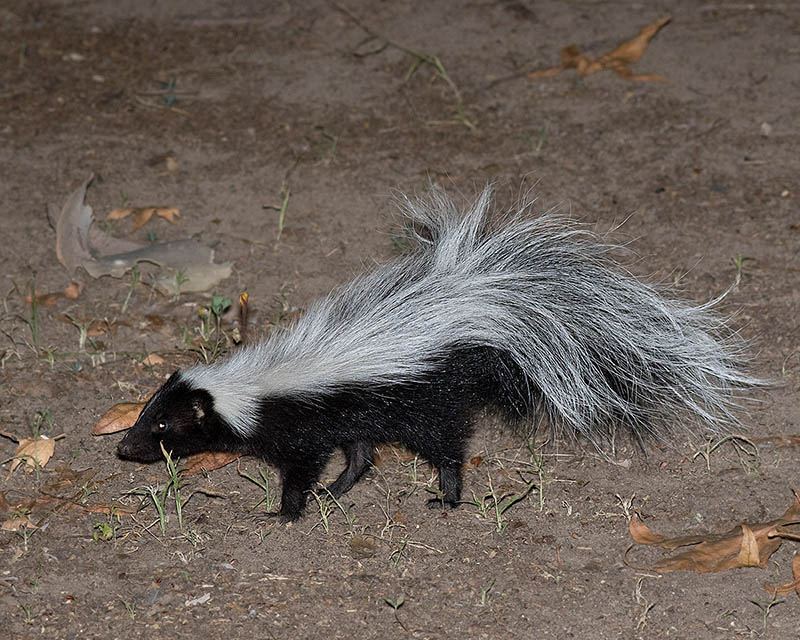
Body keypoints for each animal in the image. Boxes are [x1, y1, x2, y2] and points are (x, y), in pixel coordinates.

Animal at [115, 185, 760, 520]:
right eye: (146, 414)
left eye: (164, 425)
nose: (123, 448)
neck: (254, 386)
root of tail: (472, 310)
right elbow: (345, 456)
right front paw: (312, 499)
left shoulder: (299, 427)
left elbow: (300, 469)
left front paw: (286, 510)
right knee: (363, 455)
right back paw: (341, 491)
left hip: (429, 403)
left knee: (447, 450)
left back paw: (446, 498)